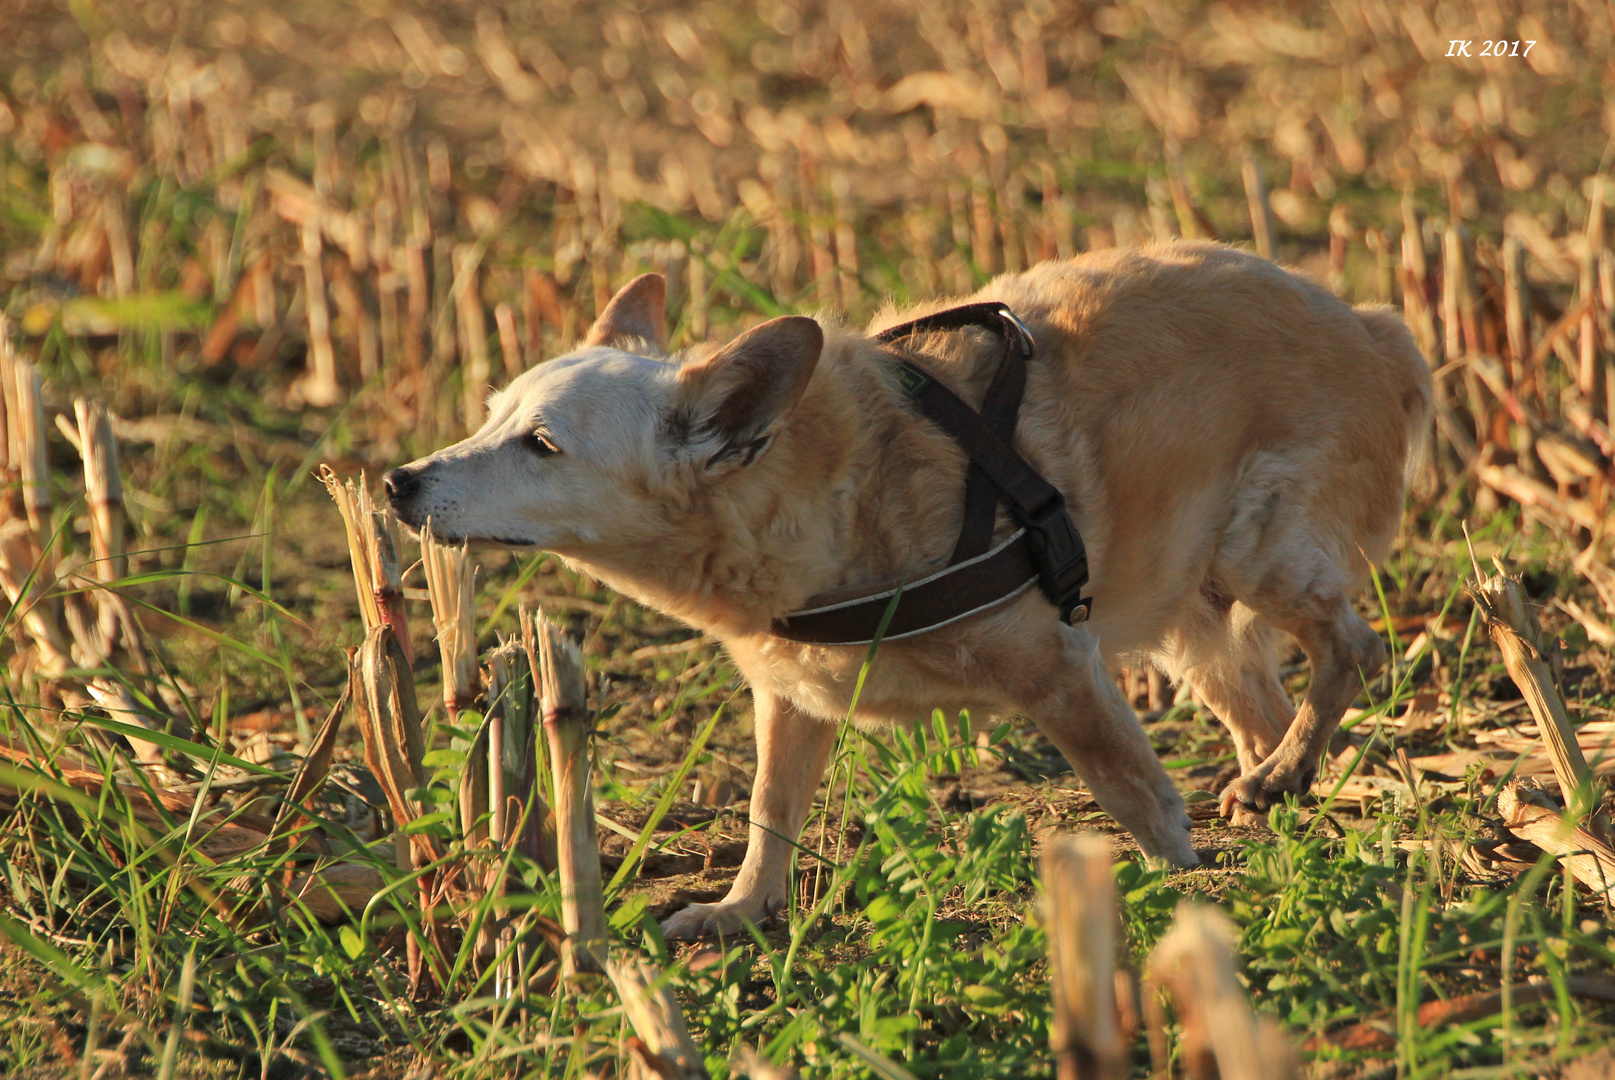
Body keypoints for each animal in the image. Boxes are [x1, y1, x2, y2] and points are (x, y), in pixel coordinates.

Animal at [384, 242, 1434, 936]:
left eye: (541, 445)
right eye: (489, 416)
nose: (397, 482)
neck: (815, 486)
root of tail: (1379, 330)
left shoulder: (1060, 669)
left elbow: (1135, 795)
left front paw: (1178, 896)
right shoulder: (789, 698)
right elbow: (768, 812)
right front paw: (742, 911)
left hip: (1255, 552)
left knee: (1354, 648)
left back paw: (1280, 782)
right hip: (1193, 622)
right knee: (1269, 709)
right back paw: (1274, 790)